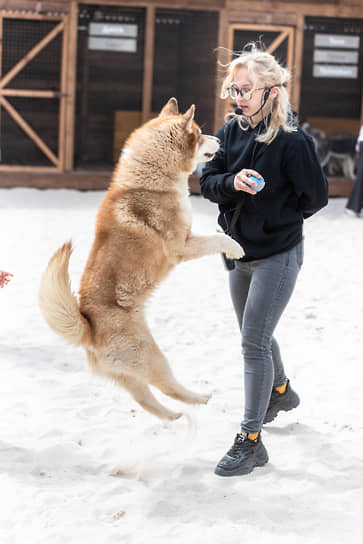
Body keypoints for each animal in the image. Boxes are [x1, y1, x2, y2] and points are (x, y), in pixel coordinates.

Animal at [39, 98, 245, 420]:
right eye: (200, 135)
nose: (219, 139)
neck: (151, 178)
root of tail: (89, 329)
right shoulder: (183, 246)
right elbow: (219, 239)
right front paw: (236, 248)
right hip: (152, 357)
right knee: (169, 387)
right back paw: (200, 399)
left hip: (132, 374)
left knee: (150, 401)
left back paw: (176, 416)